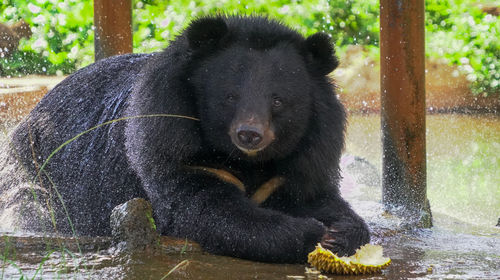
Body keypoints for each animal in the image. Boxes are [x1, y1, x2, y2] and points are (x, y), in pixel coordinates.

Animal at [1, 15, 370, 262]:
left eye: (278, 101)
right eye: (230, 96)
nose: (250, 134)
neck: (242, 159)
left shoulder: (307, 153)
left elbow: (316, 195)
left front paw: (341, 231)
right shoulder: (169, 140)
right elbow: (204, 208)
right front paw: (311, 232)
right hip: (40, 169)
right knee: (32, 203)